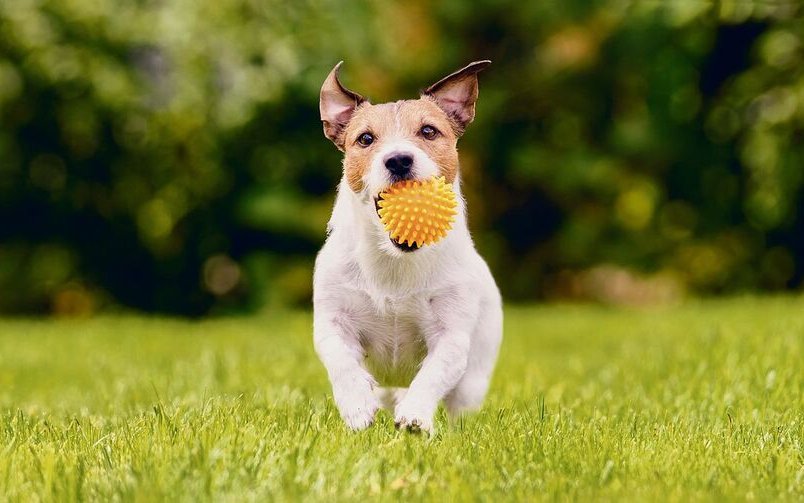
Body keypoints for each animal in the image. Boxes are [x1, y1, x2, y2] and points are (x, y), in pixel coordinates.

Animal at [310, 60, 500, 434]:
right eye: (365, 138)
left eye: (428, 131)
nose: (398, 160)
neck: (395, 260)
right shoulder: (332, 321)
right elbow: (341, 361)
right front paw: (357, 405)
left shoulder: (451, 335)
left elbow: (433, 374)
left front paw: (414, 416)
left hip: (474, 377)